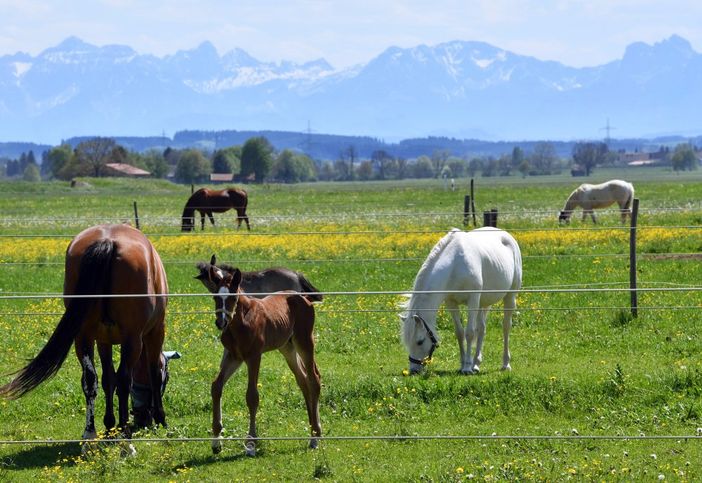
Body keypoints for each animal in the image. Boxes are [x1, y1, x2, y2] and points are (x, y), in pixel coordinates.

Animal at [0, 223, 169, 446]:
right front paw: (160, 418)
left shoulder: (103, 340)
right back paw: (125, 435)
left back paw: (91, 432)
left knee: (90, 379)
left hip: (83, 337)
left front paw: (109, 424)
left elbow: (107, 379)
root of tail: (108, 240)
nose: (143, 419)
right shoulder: (154, 332)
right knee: (124, 380)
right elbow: (153, 373)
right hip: (132, 339)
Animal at [402, 227, 524, 374]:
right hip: (483, 303)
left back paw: (505, 364)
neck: (454, 266)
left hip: (509, 297)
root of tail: (505, 234)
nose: (414, 370)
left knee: (506, 327)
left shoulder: (472, 300)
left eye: (420, 341)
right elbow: (459, 332)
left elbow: (470, 333)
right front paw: (463, 364)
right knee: (482, 328)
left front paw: (467, 368)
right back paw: (476, 364)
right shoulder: (451, 303)